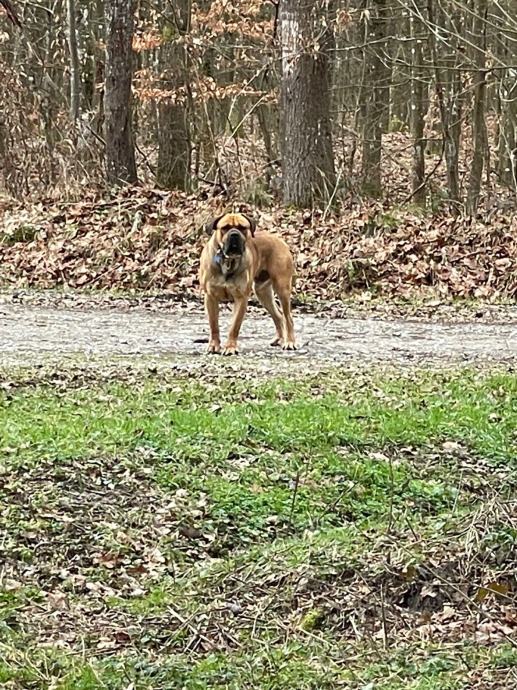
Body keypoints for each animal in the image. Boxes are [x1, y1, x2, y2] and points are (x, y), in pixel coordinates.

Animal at [197, 212, 294, 354]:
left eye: (242, 228)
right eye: (225, 228)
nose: (234, 234)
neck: (228, 261)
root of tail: (280, 240)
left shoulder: (241, 298)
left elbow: (234, 326)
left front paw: (230, 347)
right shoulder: (210, 297)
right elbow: (213, 324)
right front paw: (214, 345)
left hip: (282, 288)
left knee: (288, 317)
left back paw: (290, 342)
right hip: (262, 292)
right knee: (278, 315)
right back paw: (279, 339)